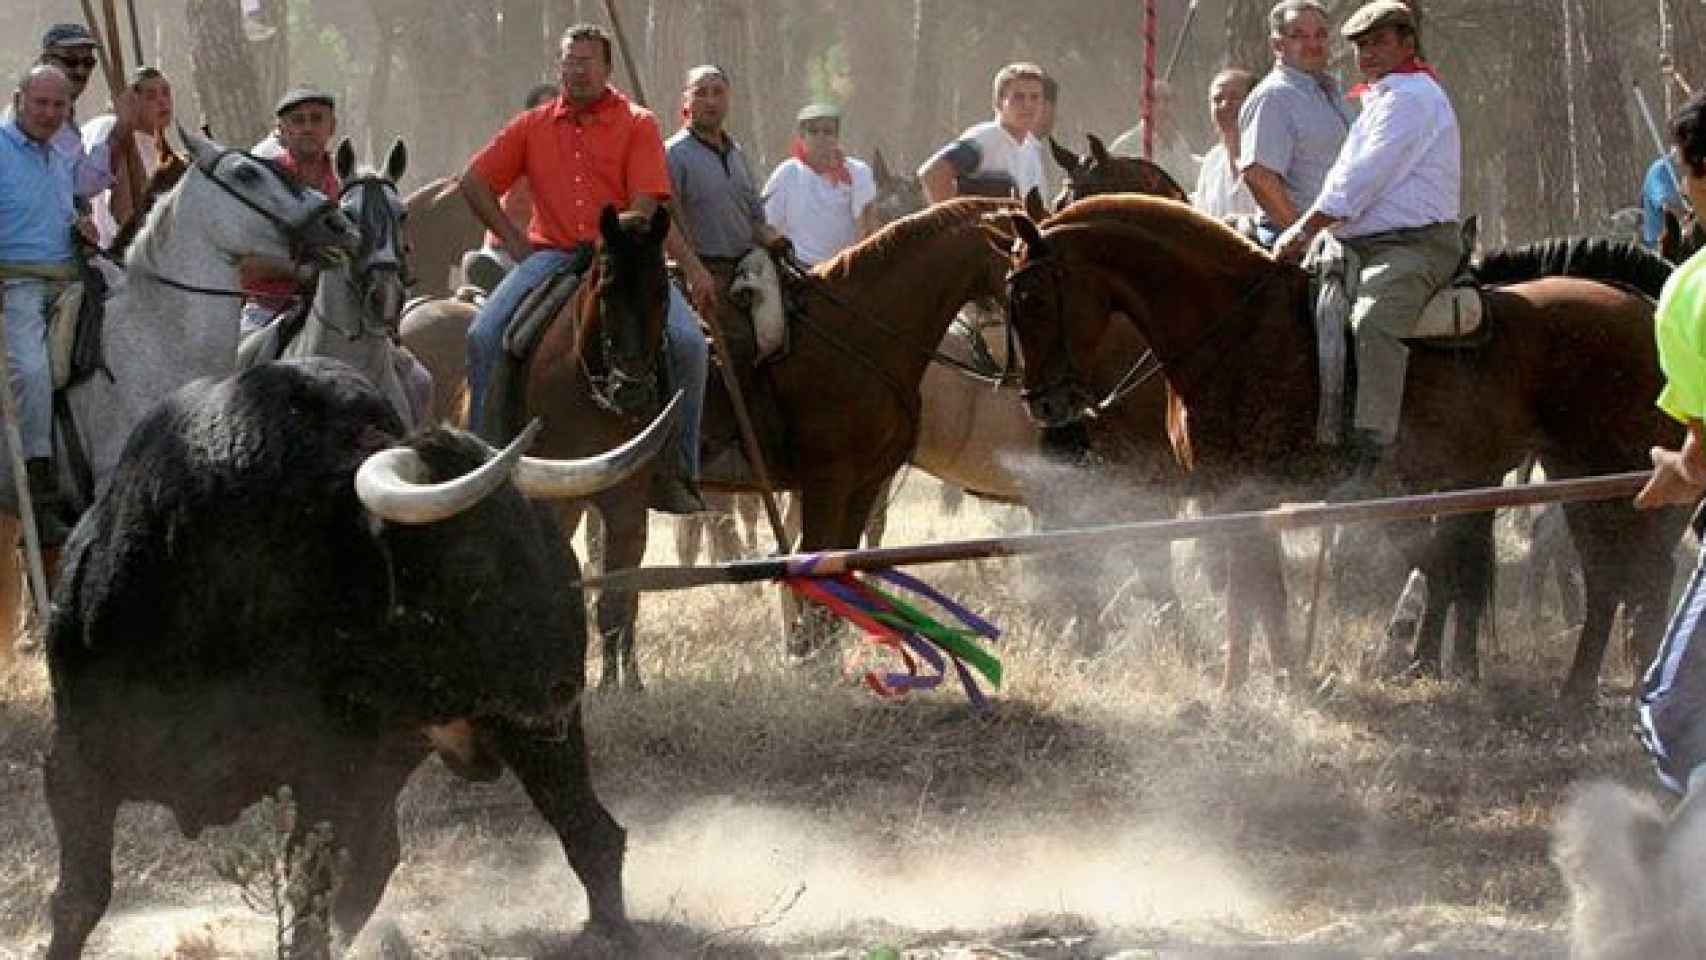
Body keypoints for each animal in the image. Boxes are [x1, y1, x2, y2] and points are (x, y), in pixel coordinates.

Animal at [46, 358, 644, 954]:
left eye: (534, 536)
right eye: (473, 561)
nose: (563, 683)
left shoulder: (331, 770)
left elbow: (311, 889)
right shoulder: (73, 760)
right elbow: (80, 899)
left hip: (529, 740)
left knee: (590, 834)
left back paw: (611, 933)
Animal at [1003, 193, 1685, 699]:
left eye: (1032, 297)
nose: (1044, 406)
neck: (1234, 328)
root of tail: (1643, 307)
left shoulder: (1237, 491)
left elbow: (1248, 593)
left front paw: (1241, 687)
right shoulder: (1247, 496)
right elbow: (1266, 592)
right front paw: (1281, 678)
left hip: (1605, 469)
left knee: (1631, 572)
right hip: (1581, 474)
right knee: (1612, 576)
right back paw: (1581, 690)